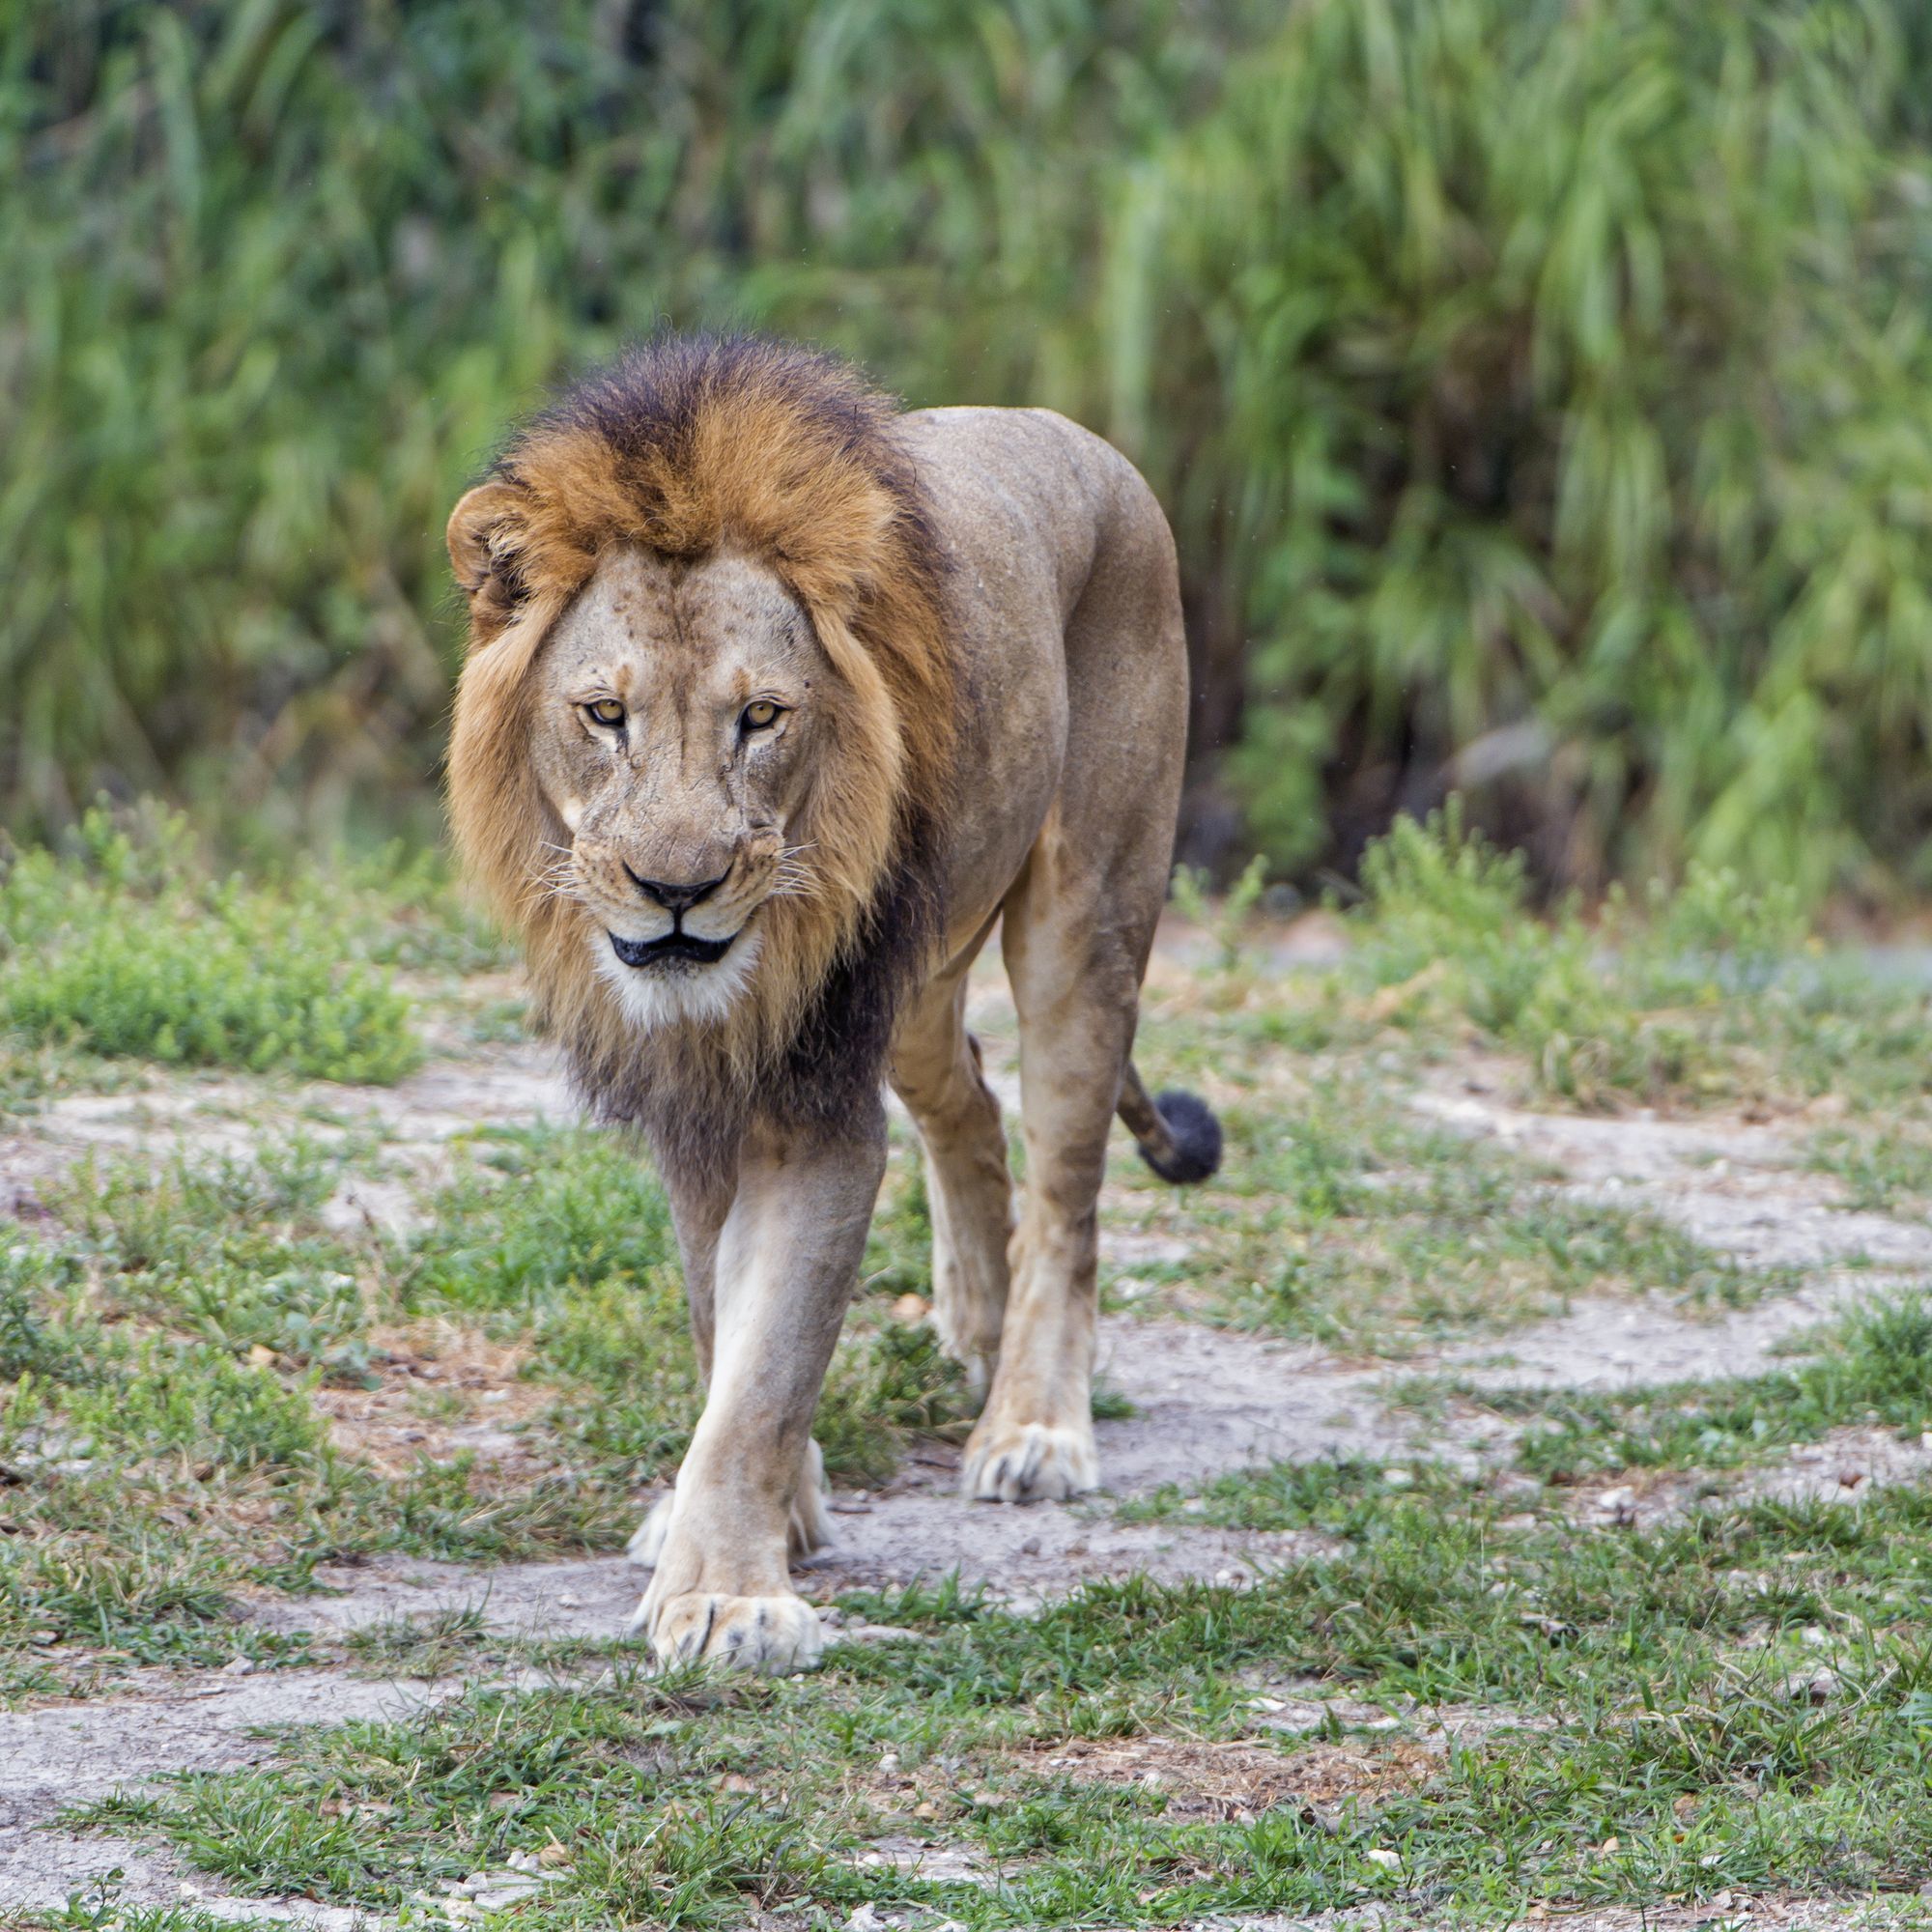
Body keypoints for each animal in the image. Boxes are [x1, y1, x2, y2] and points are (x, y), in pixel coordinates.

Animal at [448, 340, 1221, 1669]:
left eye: (761, 717)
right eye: (603, 714)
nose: (675, 891)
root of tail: (1087, 442)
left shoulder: (812, 1106)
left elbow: (766, 1369)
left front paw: (729, 1593)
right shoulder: (699, 1103)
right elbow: (722, 1322)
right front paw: (772, 1517)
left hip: (1085, 920)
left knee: (1066, 1192)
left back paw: (1032, 1422)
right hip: (912, 986)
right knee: (966, 1099)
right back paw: (972, 1320)